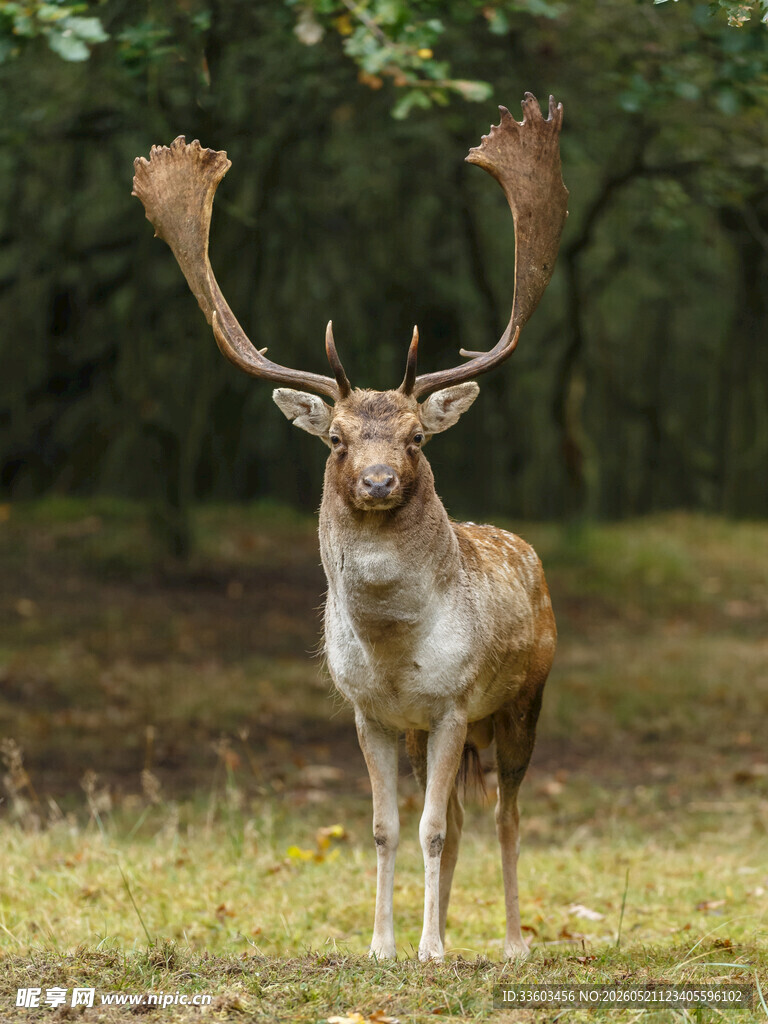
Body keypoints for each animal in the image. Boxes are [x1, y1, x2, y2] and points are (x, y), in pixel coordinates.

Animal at [132, 92, 568, 962]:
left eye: (418, 437)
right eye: (335, 438)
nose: (376, 480)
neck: (396, 650)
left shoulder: (454, 701)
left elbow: (429, 827)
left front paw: (430, 949)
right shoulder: (372, 712)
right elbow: (387, 828)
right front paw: (385, 945)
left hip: (522, 701)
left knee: (504, 814)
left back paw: (509, 942)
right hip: (437, 732)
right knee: (461, 816)